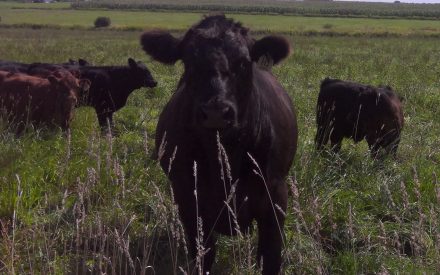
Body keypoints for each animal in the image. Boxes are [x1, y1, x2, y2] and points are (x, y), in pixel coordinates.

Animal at [141, 15, 300, 275]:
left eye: (244, 62)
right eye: (188, 61)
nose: (216, 112)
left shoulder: (275, 196)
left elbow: (271, 257)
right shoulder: (187, 199)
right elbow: (203, 256)